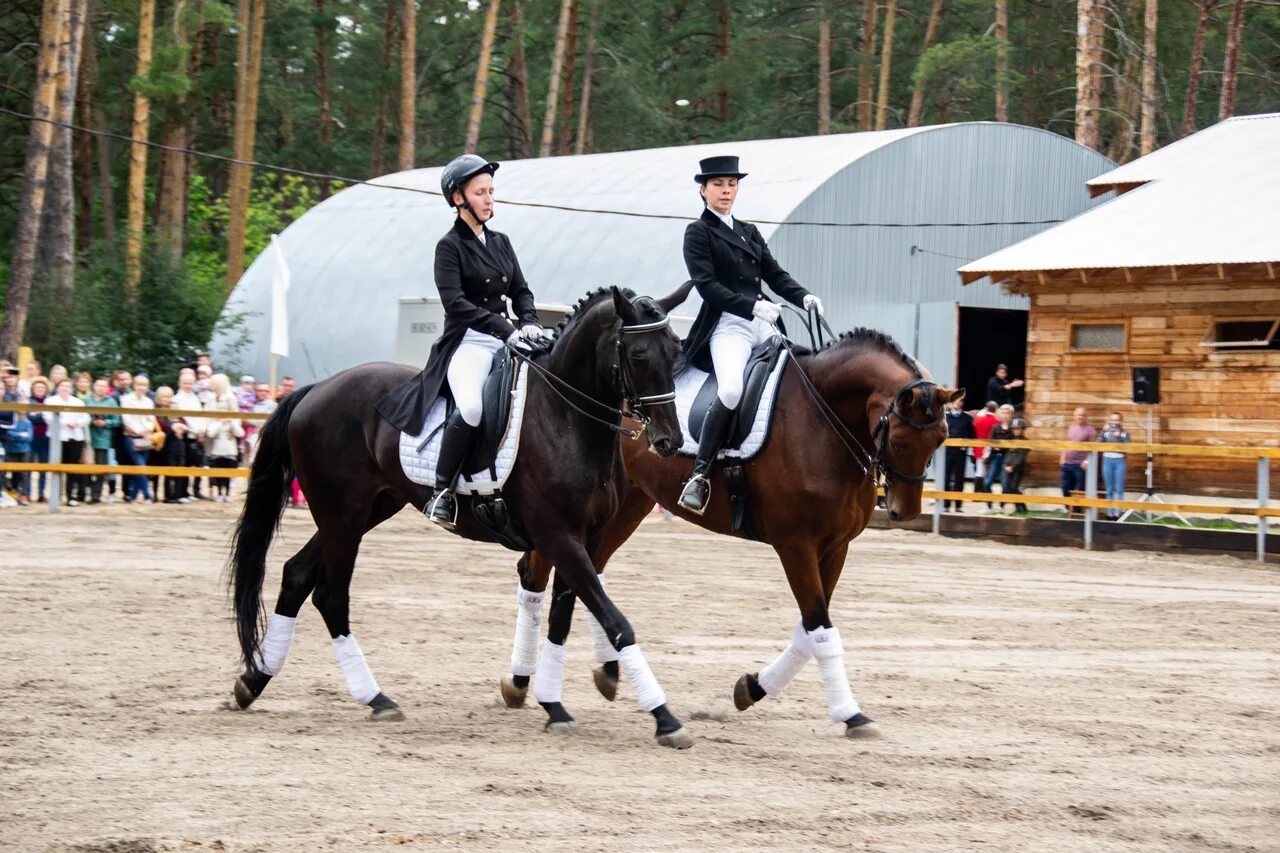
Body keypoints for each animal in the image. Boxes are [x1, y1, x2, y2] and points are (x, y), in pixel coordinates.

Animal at [225, 284, 696, 742]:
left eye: (676, 349)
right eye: (638, 355)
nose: (670, 441)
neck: (566, 419)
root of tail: (315, 389)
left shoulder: (588, 537)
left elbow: (564, 617)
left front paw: (553, 704)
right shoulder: (560, 538)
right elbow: (615, 620)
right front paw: (664, 718)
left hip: (362, 511)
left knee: (297, 575)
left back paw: (255, 681)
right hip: (342, 514)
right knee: (330, 595)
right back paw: (375, 698)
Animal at [499, 327, 962, 732]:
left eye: (941, 437)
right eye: (899, 440)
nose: (904, 511)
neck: (821, 419)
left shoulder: (836, 547)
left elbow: (810, 628)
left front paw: (753, 687)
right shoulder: (795, 545)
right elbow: (819, 625)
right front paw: (851, 714)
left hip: (630, 503)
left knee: (590, 573)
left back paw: (606, 672)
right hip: (574, 514)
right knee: (539, 573)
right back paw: (520, 681)